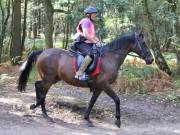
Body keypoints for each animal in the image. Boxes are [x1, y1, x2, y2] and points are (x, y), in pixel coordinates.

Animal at [17, 30, 153, 127]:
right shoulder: (105, 85)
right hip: (49, 79)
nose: (151, 59)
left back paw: (37, 107)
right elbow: (117, 99)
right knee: (42, 93)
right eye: (143, 43)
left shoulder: (99, 87)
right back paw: (43, 113)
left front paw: (87, 118)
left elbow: (92, 102)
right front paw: (118, 120)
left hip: (53, 78)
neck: (110, 57)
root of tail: (42, 52)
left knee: (38, 85)